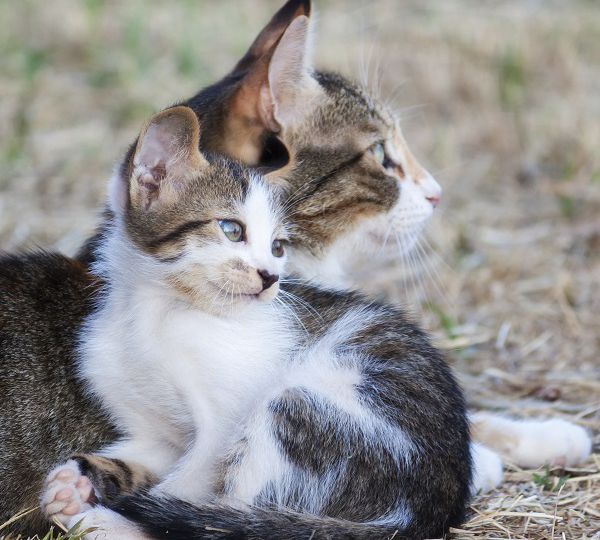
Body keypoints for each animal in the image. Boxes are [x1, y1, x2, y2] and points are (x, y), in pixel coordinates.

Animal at [43, 102, 474, 540]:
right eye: (231, 229)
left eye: (278, 247)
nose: (270, 277)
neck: (155, 313)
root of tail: (436, 507)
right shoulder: (155, 432)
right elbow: (148, 455)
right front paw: (73, 483)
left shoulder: (221, 429)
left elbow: (185, 488)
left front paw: (108, 505)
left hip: (302, 404)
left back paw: (105, 521)